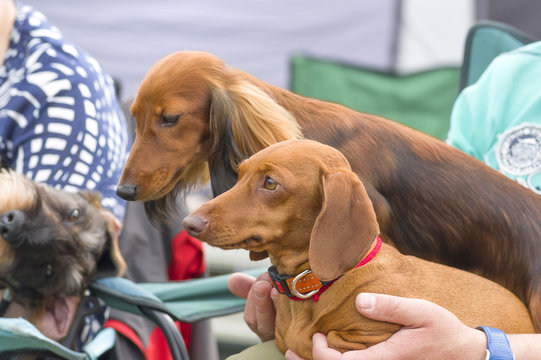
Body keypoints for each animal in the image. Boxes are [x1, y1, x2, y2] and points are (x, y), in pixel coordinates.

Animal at [184, 140, 532, 358]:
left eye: (270, 183)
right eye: (240, 174)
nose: (189, 223)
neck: (316, 284)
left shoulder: (374, 337)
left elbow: (328, 339)